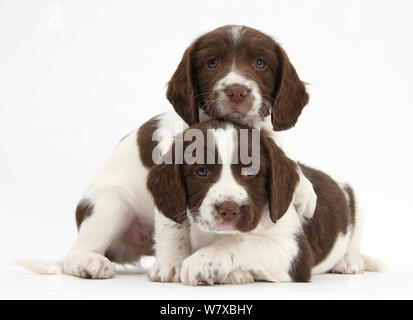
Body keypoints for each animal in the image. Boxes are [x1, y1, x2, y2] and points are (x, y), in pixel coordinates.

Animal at [13, 25, 316, 280]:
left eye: (260, 64)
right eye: (212, 63)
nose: (237, 91)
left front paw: (305, 190)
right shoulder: (170, 180)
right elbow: (174, 227)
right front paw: (172, 264)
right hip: (110, 204)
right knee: (73, 254)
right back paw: (89, 262)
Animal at [146, 121, 384, 284]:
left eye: (251, 170)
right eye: (201, 171)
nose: (229, 210)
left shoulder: (295, 251)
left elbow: (243, 241)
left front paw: (205, 259)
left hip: (356, 206)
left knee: (353, 244)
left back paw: (348, 261)